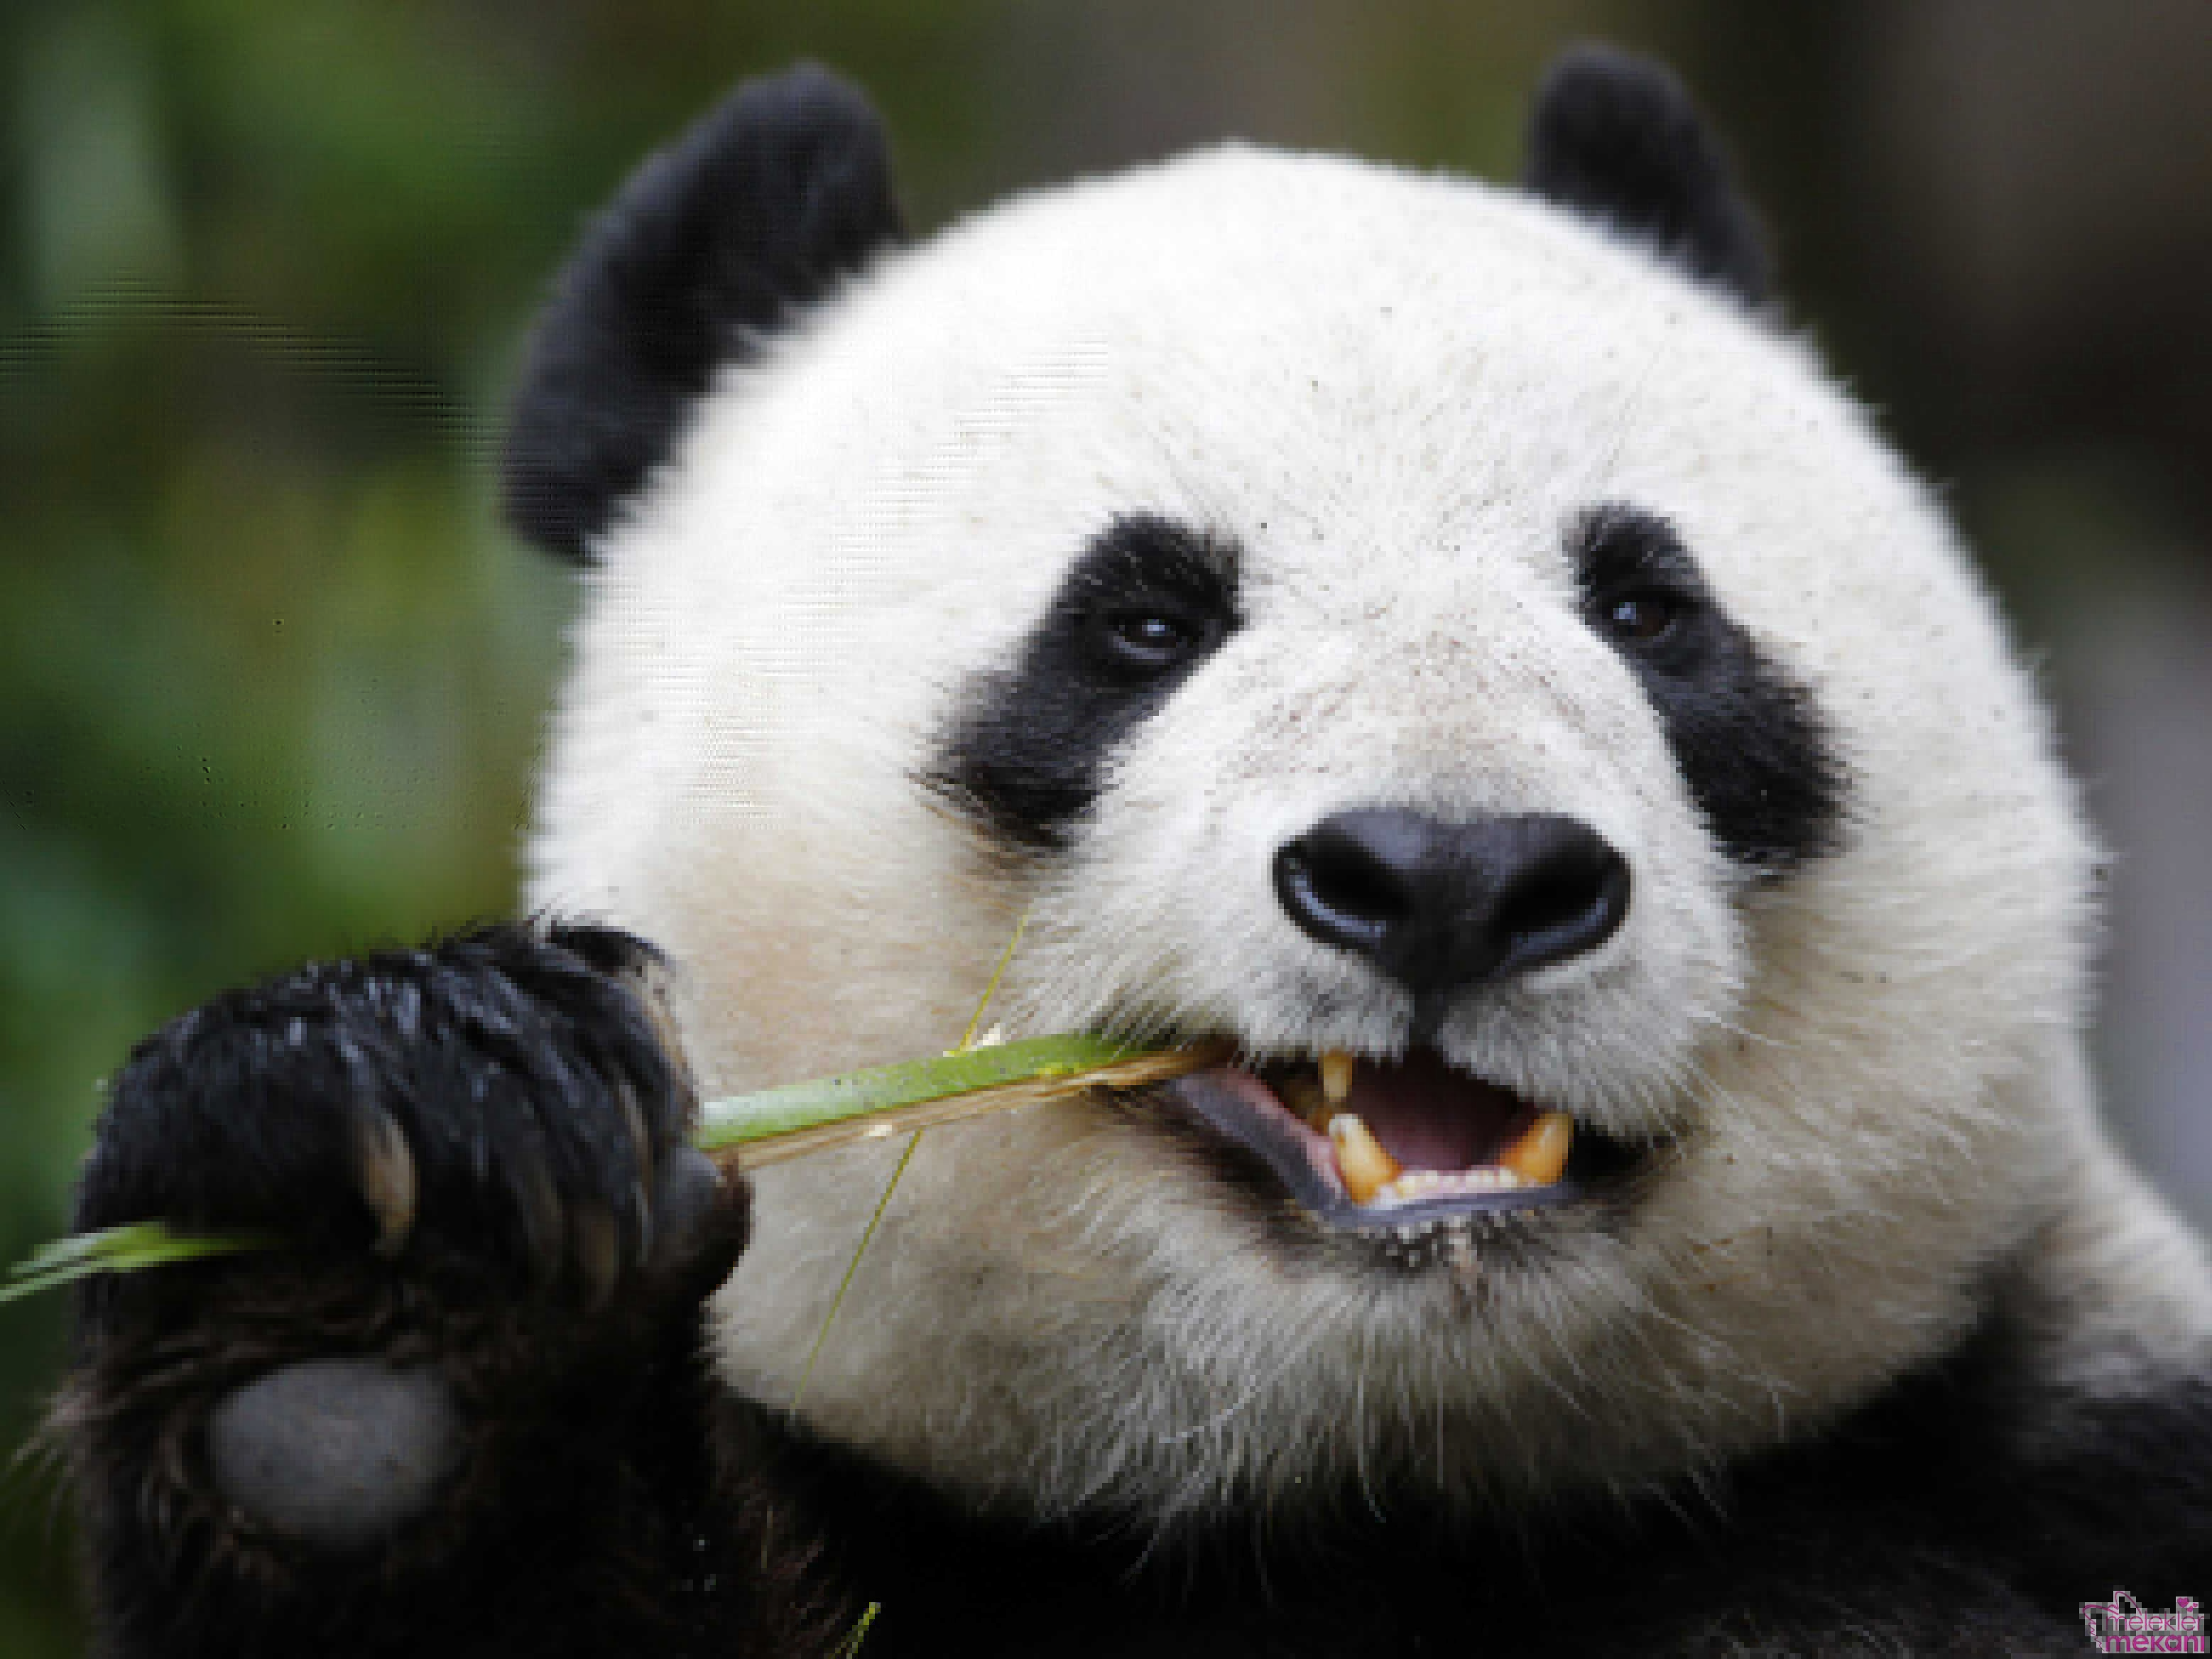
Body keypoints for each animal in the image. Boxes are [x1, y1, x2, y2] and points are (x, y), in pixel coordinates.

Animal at [60, 45, 2212, 1659]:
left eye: (1649, 612)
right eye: (1142, 623)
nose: (1451, 873)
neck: (1369, 1494)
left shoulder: (2081, 1438)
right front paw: (379, 1279)